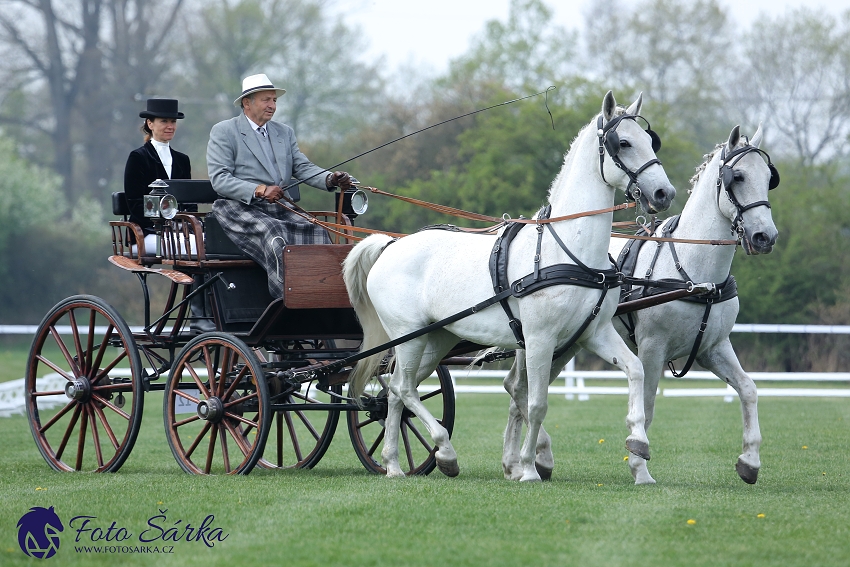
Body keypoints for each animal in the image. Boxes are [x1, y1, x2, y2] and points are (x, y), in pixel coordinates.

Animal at [344, 91, 676, 482]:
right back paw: (444, 453)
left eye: (651, 141)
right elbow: (536, 403)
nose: (664, 193)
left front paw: (638, 452)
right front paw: (530, 467)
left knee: (395, 392)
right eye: (623, 143)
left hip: (436, 339)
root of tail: (391, 245)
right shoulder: (539, 338)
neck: (567, 250)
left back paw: (395, 464)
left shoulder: (594, 333)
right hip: (408, 338)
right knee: (405, 389)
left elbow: (636, 370)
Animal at [500, 124, 780, 484]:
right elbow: (646, 410)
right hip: (536, 339)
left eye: (769, 177)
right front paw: (639, 464)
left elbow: (748, 389)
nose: (765, 237)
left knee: (519, 390)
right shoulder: (652, 348)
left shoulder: (713, 347)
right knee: (518, 388)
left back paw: (517, 462)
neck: (692, 270)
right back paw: (529, 458)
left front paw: (750, 460)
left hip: (566, 344)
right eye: (739, 177)